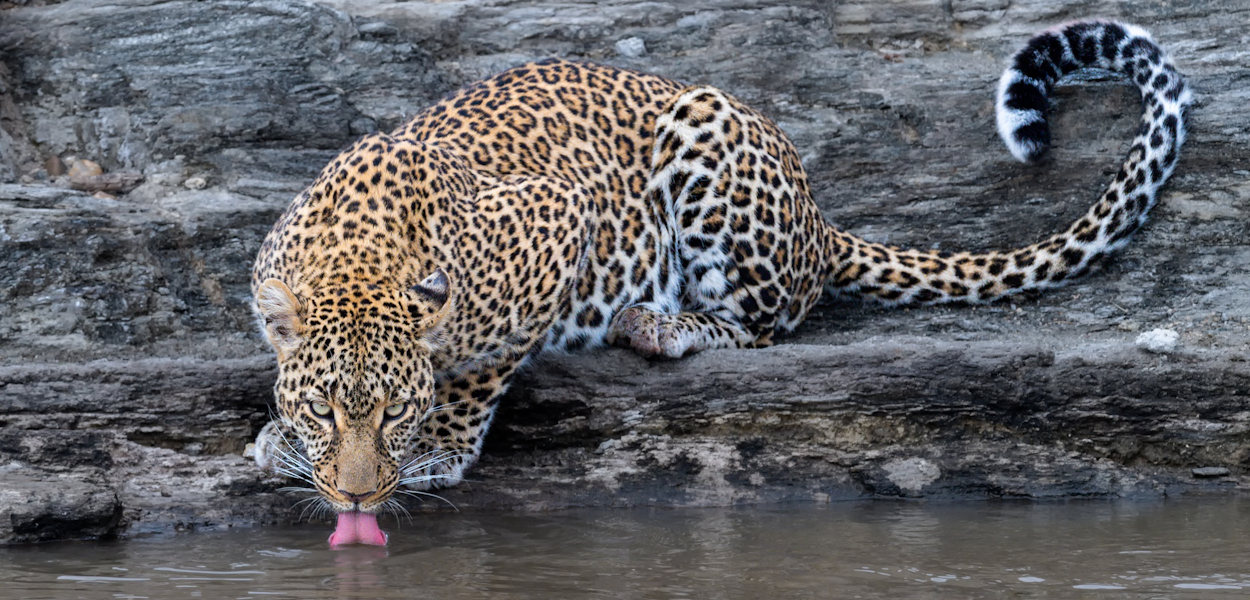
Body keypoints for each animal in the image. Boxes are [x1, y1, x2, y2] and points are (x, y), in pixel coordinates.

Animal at [249, 20, 1190, 544]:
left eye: (396, 413)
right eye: (326, 408)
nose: (357, 495)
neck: (355, 254)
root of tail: (817, 219)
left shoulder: (557, 221)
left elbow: (479, 371)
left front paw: (441, 447)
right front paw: (280, 440)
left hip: (704, 132)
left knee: (762, 326)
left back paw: (660, 326)